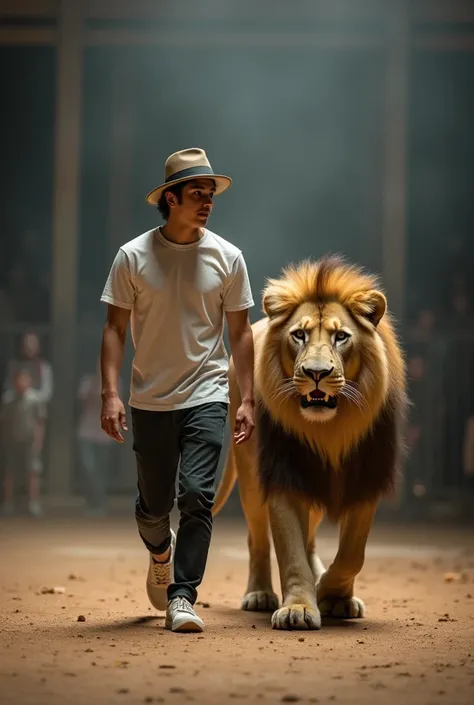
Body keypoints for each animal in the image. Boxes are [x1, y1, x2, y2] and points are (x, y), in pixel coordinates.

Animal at [212, 256, 408, 628]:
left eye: (341, 336)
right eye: (299, 335)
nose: (317, 372)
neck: (329, 431)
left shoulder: (364, 478)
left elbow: (353, 553)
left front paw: (333, 593)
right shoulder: (285, 476)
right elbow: (290, 551)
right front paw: (300, 606)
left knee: (313, 539)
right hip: (250, 474)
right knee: (257, 537)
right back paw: (259, 593)